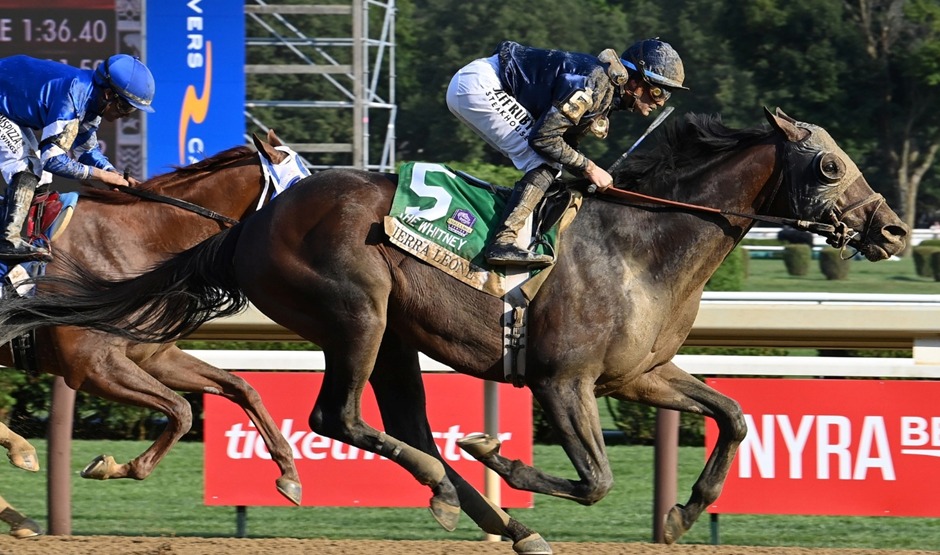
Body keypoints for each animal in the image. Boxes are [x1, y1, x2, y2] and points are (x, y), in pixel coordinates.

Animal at [0, 131, 303, 505]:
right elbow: (182, 410)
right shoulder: (90, 365)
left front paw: (289, 474)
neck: (140, 239)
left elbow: (240, 387)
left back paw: (20, 450)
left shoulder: (152, 355)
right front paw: (110, 466)